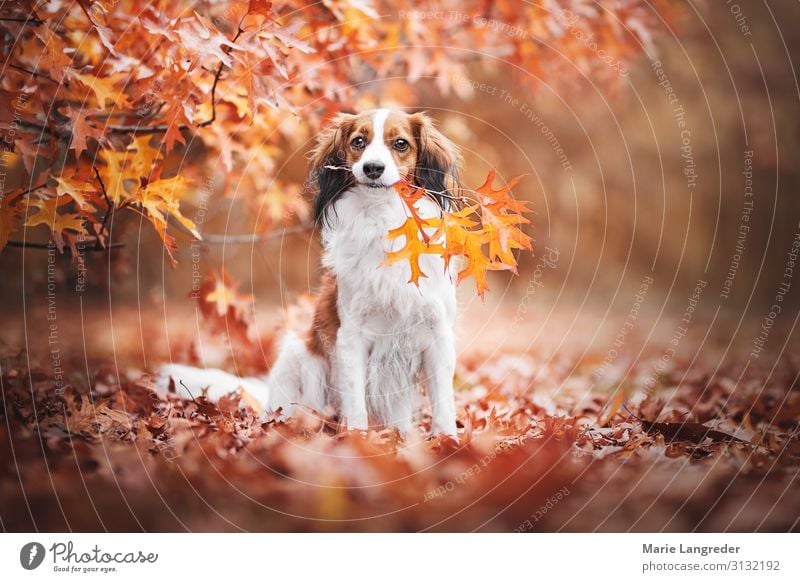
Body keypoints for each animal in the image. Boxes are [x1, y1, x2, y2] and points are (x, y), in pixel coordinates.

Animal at [159, 109, 460, 438]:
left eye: (401, 143)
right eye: (359, 142)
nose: (372, 168)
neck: (385, 220)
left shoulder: (437, 334)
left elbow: (443, 403)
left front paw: (446, 440)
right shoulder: (351, 337)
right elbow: (356, 403)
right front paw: (358, 441)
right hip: (299, 358)